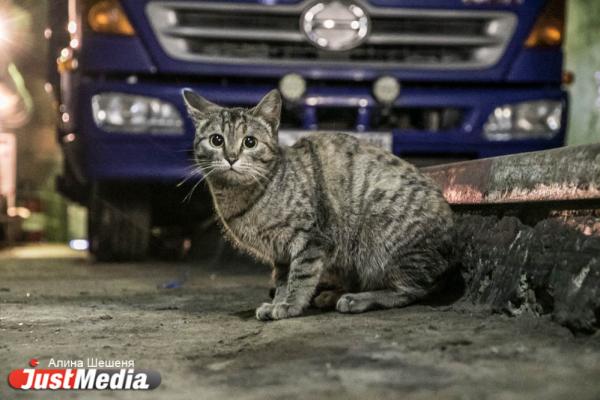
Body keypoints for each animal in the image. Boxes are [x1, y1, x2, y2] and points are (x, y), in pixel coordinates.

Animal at [180, 89, 452, 320]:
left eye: (250, 142)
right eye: (217, 140)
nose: (231, 158)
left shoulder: (312, 238)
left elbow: (301, 275)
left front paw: (289, 305)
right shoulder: (281, 253)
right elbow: (282, 279)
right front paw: (278, 301)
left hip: (382, 242)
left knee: (414, 289)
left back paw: (357, 299)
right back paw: (332, 295)